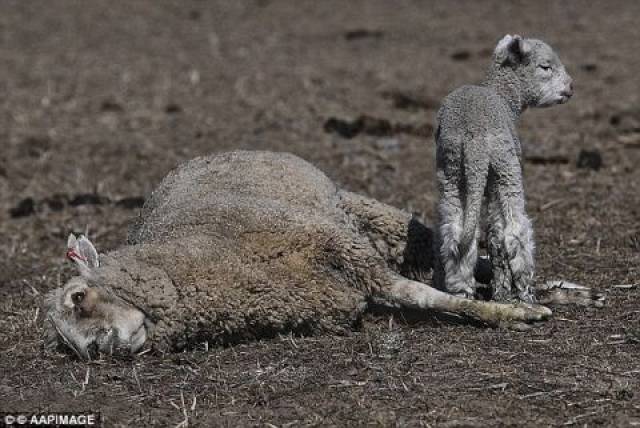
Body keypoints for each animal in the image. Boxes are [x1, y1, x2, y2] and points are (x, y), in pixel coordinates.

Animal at [42, 152, 604, 360]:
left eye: (78, 296)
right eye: (70, 348)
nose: (99, 351)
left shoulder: (348, 252)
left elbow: (429, 296)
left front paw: (512, 313)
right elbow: (423, 295)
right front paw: (512, 309)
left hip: (368, 217)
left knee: (451, 258)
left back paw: (556, 291)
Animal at [436, 36, 576, 302]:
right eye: (545, 67)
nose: (570, 89)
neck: (506, 98)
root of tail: (473, 137)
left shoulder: (487, 179)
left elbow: (493, 236)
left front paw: (500, 292)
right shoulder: (500, 174)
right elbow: (500, 233)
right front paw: (507, 291)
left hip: (451, 171)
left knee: (455, 229)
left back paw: (461, 289)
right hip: (506, 166)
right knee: (516, 230)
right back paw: (527, 293)